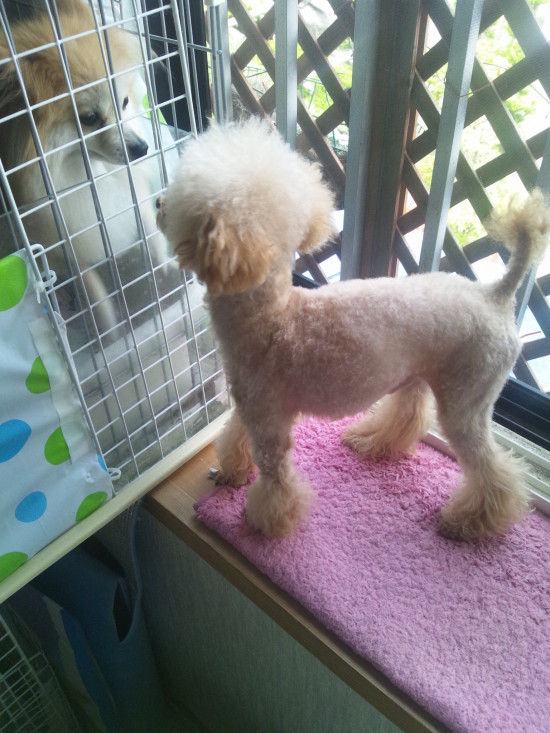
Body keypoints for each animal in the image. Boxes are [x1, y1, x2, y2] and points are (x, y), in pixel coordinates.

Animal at [0, 0, 167, 331]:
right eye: (89, 119)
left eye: (124, 102)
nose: (141, 148)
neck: (89, 176)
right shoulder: (62, 234)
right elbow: (90, 286)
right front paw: (109, 329)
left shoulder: (130, 189)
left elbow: (148, 225)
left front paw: (166, 265)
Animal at [157, 118, 550, 541]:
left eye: (181, 203)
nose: (157, 203)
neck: (273, 316)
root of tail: (495, 294)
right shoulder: (251, 405)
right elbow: (235, 435)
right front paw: (232, 470)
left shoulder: (268, 418)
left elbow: (275, 476)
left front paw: (265, 523)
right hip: (421, 371)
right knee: (409, 412)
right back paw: (371, 440)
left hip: (468, 396)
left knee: (493, 470)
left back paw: (469, 521)